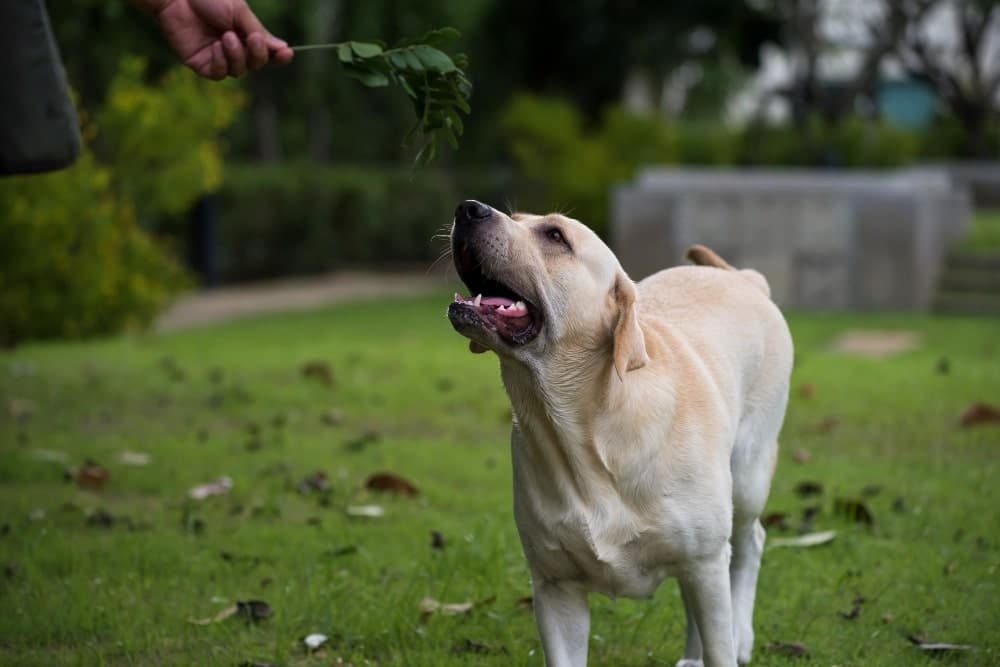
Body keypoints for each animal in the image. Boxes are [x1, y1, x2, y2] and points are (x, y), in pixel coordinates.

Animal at [450, 201, 792, 664]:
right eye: (516, 217)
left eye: (555, 236)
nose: (468, 209)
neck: (584, 427)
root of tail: (743, 277)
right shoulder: (556, 589)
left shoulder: (706, 559)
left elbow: (719, 642)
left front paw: (727, 644)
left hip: (747, 478)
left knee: (750, 543)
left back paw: (742, 636)